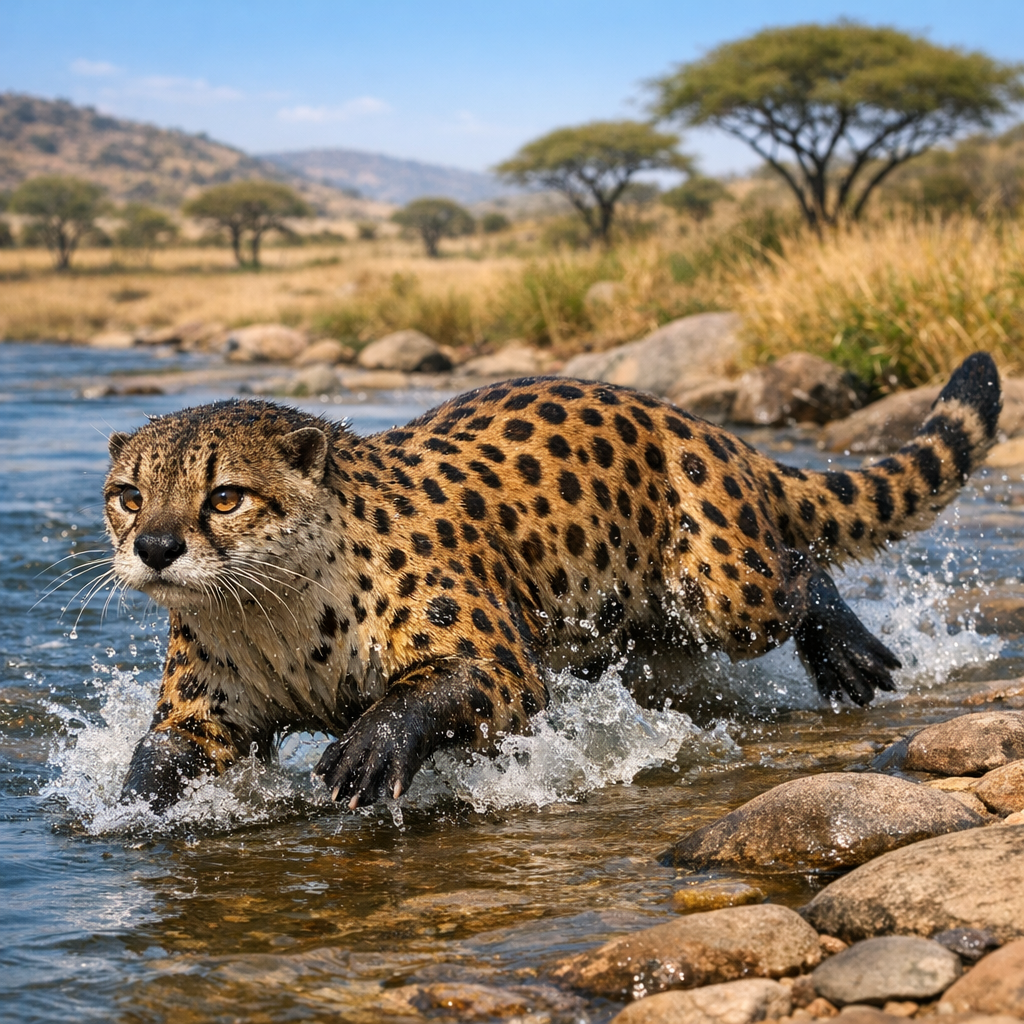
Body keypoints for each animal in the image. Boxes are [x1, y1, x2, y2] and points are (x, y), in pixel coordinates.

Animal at [103, 352, 1001, 813]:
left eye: (226, 497)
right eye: (129, 495)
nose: (155, 547)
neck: (272, 605)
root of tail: (692, 417)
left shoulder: (502, 663)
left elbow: (432, 690)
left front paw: (369, 746)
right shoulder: (207, 717)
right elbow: (163, 752)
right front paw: (130, 804)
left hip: (722, 594)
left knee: (797, 570)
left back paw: (845, 647)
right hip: (631, 632)